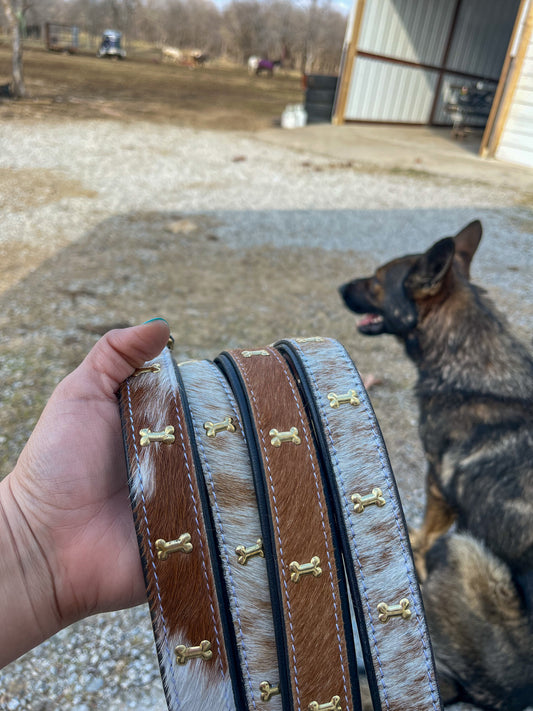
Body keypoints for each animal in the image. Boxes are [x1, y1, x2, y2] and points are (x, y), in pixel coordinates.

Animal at [338, 220, 528, 708]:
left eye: (376, 281)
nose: (340, 287)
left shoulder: (436, 483)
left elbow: (425, 532)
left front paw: (415, 548)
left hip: (464, 550)